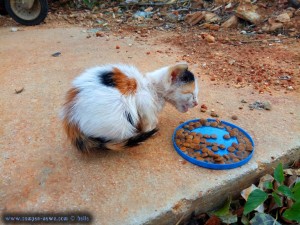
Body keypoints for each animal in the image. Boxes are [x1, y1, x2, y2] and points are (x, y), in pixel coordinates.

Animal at [61, 62, 198, 152]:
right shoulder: (144, 102)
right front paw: (151, 129)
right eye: (191, 94)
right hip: (121, 122)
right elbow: (149, 121)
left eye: (195, 94)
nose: (196, 103)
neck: (151, 88)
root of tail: (70, 118)